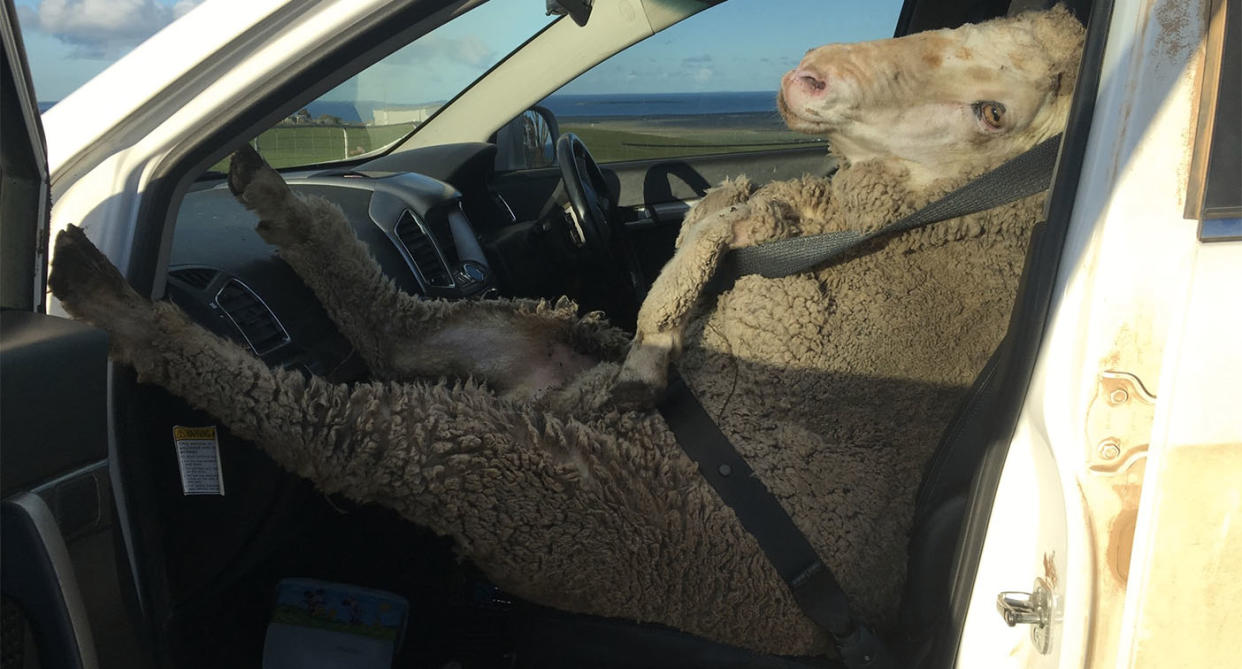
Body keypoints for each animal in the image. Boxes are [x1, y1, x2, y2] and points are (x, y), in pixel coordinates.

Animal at [48, 6, 1083, 660]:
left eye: (995, 112)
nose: (813, 74)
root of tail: (559, 405)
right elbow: (708, 231)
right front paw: (665, 318)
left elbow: (706, 249)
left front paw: (659, 346)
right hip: (537, 334)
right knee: (399, 328)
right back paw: (270, 197)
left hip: (517, 479)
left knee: (332, 418)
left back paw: (120, 301)